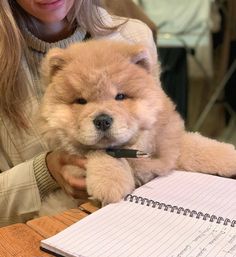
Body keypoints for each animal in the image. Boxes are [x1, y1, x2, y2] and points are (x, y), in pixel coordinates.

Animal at [38, 39, 236, 214]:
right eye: (81, 101)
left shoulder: (172, 144)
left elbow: (201, 148)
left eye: (120, 96)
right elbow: (102, 154)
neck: (134, 147)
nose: (102, 120)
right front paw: (110, 183)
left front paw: (230, 156)